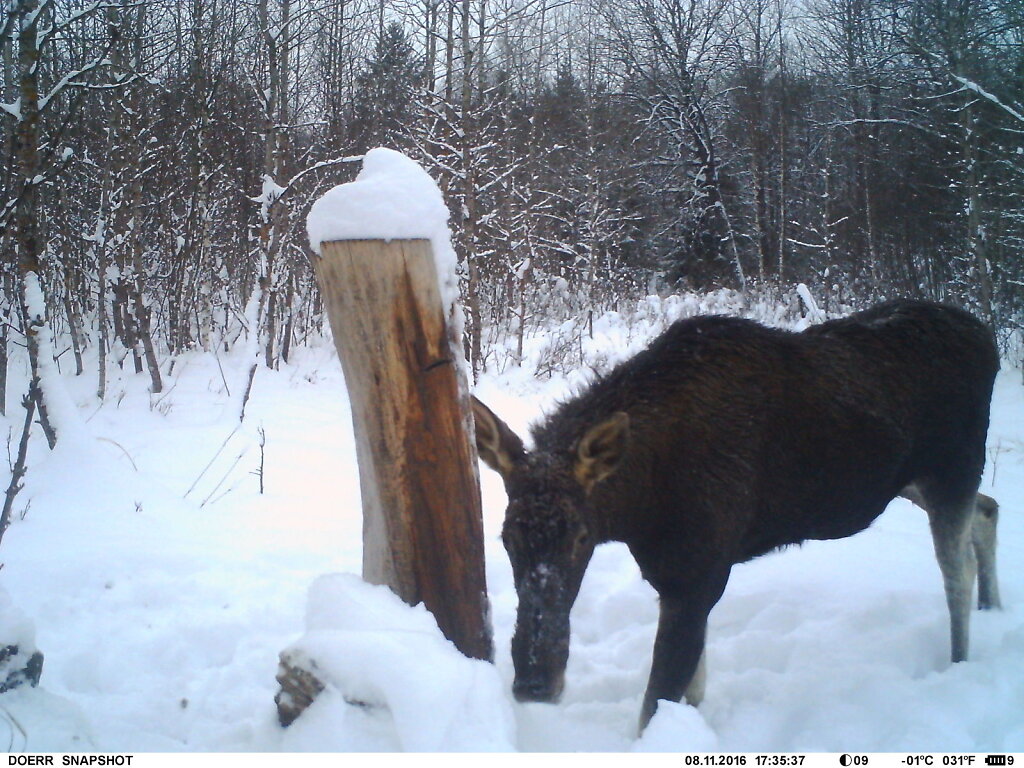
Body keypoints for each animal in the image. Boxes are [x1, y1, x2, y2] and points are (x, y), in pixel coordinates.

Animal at [471, 299, 999, 733]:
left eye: (581, 536)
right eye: (506, 537)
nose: (534, 683)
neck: (639, 507)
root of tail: (987, 335)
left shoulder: (698, 576)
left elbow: (652, 711)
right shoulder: (676, 578)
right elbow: (691, 692)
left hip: (953, 467)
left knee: (957, 569)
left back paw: (959, 660)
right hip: (912, 480)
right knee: (989, 510)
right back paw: (993, 608)